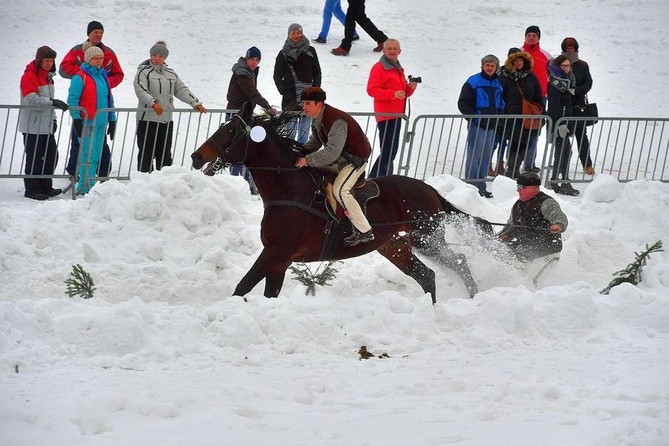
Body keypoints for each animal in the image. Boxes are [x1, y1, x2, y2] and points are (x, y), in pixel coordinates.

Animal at [193, 103, 490, 302]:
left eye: (230, 130)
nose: (196, 157)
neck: (289, 190)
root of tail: (428, 187)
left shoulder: (276, 253)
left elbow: (242, 286)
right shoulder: (279, 261)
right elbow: (266, 293)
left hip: (427, 240)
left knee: (459, 261)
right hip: (395, 247)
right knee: (427, 275)